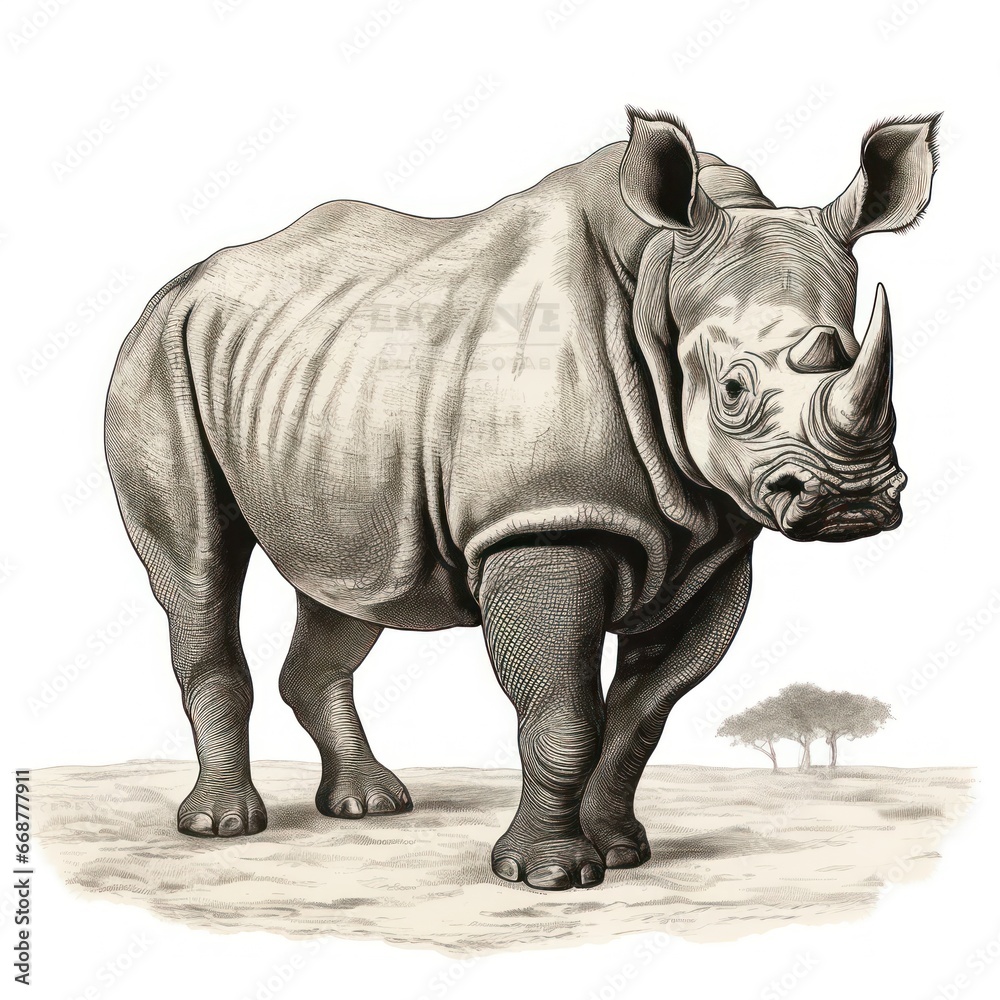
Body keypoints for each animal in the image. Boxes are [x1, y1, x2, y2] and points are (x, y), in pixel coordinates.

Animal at [106, 109, 938, 890]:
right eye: (733, 391)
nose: (853, 500)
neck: (661, 274)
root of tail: (182, 282)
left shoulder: (712, 542)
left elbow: (642, 716)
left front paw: (622, 851)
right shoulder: (539, 522)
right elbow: (563, 716)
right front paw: (549, 875)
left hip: (322, 382)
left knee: (352, 583)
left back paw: (370, 804)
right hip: (158, 354)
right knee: (199, 571)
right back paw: (223, 824)